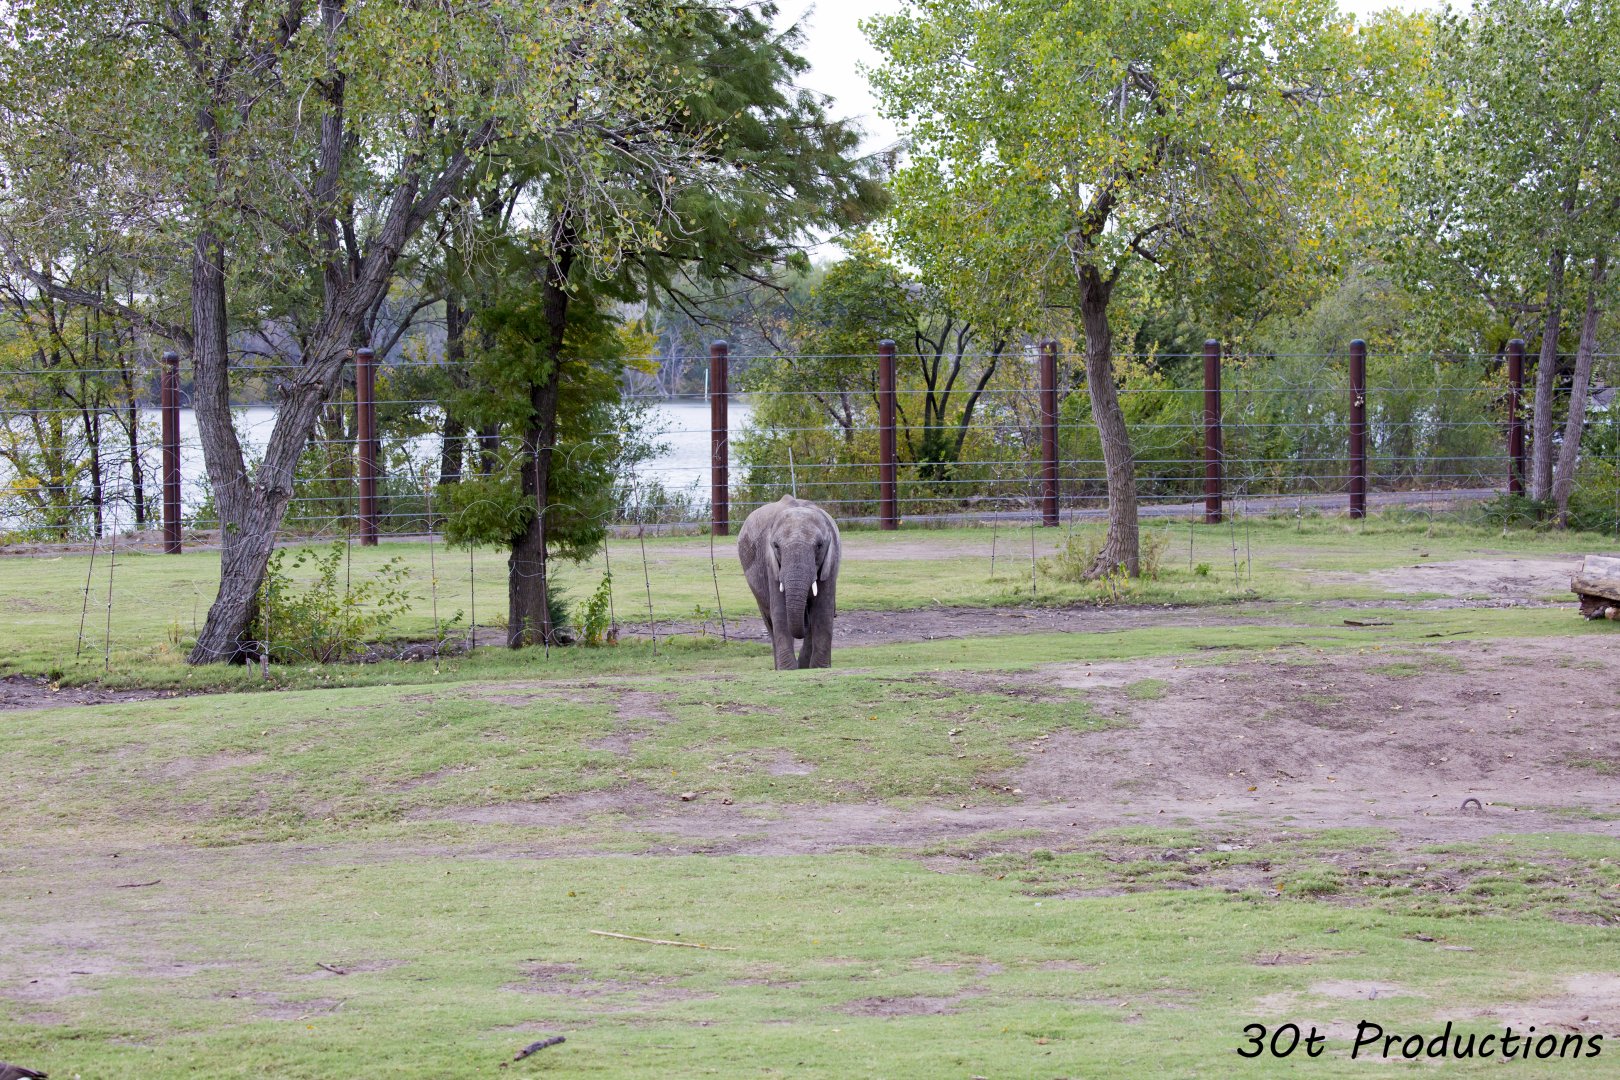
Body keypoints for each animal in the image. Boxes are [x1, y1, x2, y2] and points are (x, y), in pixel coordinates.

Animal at [737, 495, 842, 669]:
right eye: (776, 546)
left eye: (819, 546)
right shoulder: (771, 564)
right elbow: (780, 611)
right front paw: (788, 670)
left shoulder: (831, 561)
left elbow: (822, 610)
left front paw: (819, 668)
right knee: (768, 618)